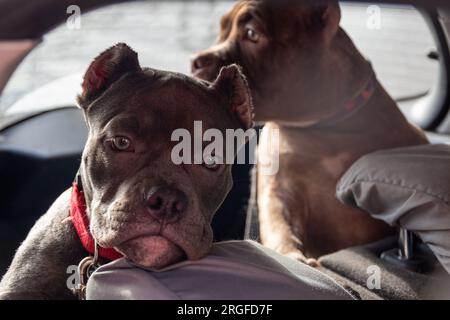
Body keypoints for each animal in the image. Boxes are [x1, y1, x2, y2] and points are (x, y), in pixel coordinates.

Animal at [192, 0, 428, 264]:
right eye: (221, 32)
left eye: (252, 33)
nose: (196, 60)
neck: (324, 127)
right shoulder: (280, 190)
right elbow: (280, 224)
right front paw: (291, 255)